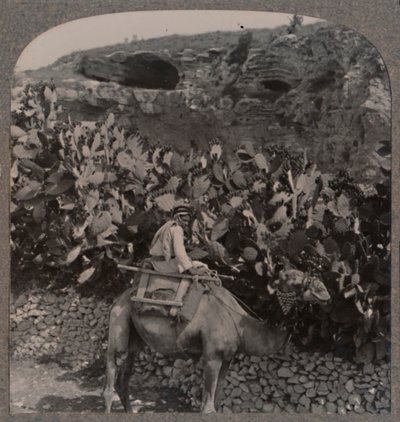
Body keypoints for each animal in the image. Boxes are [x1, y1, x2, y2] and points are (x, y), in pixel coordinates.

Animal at [104, 270, 332, 412]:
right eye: (294, 278)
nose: (325, 291)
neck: (239, 325)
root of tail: (121, 295)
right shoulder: (212, 356)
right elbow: (208, 408)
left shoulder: (228, 358)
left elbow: (218, 401)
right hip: (119, 318)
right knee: (111, 372)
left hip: (135, 338)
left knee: (124, 378)